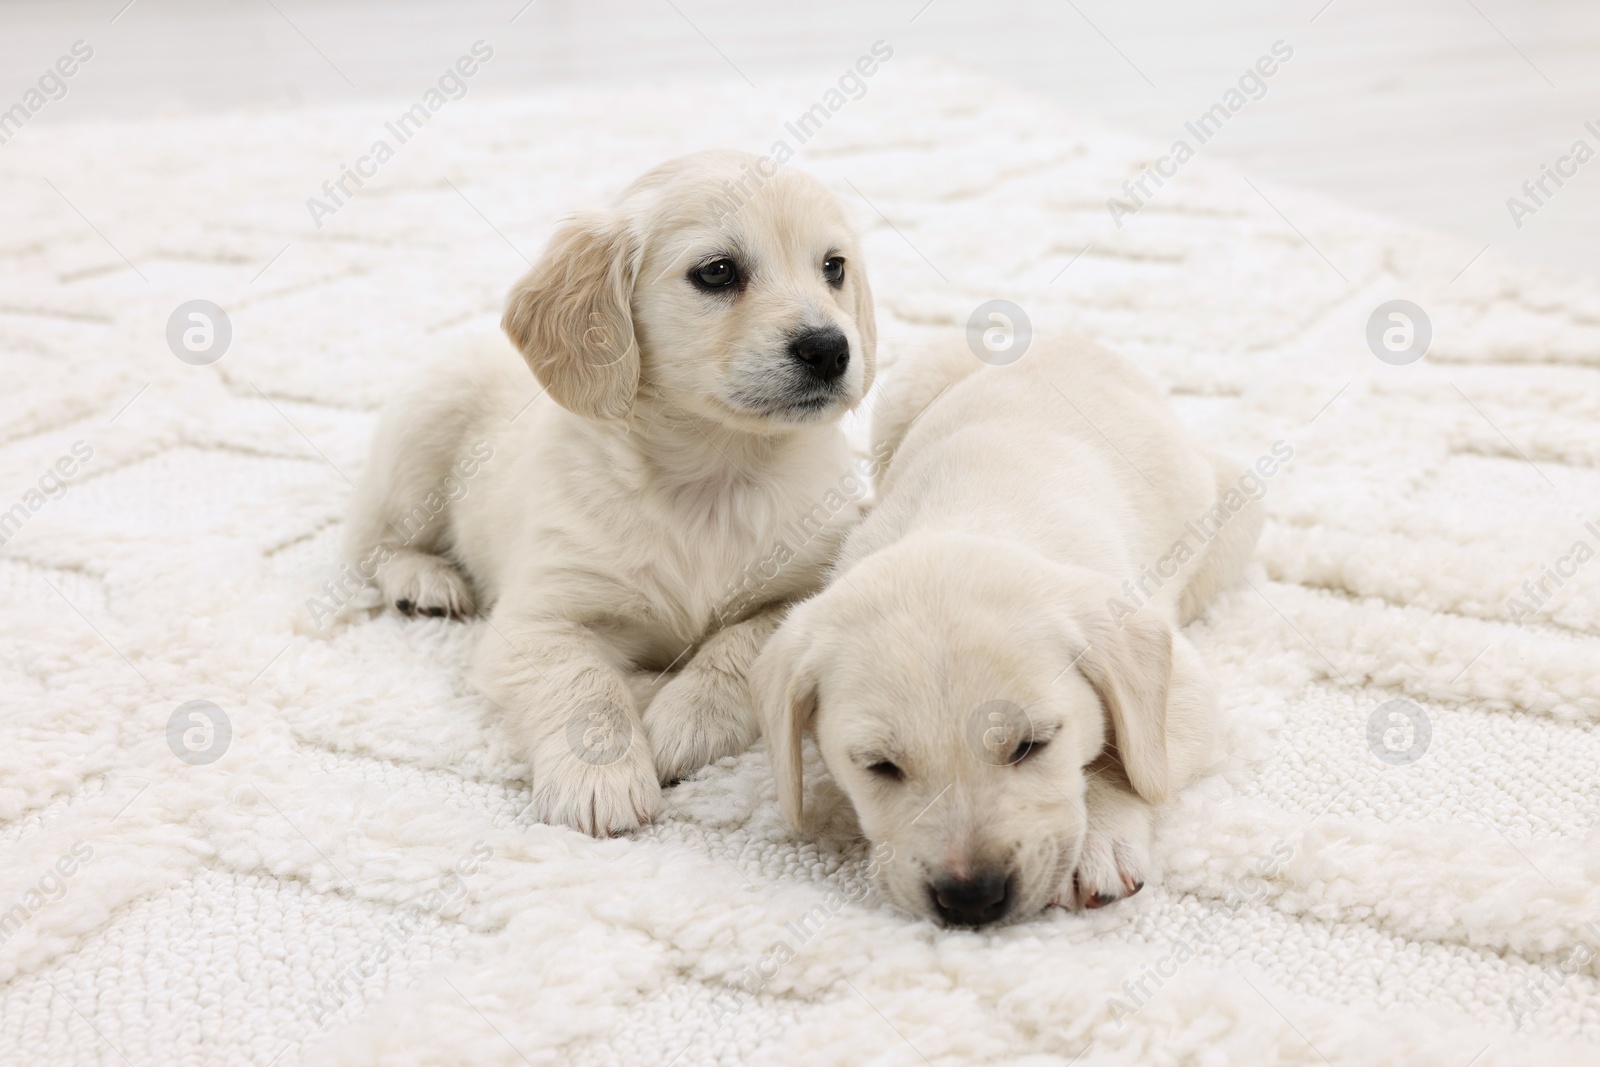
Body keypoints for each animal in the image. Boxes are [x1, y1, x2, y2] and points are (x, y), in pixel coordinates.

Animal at [344, 147, 883, 831]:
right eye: (717, 272)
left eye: (833, 268)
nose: (831, 348)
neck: (713, 474)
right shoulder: (540, 618)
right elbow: (583, 684)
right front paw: (600, 777)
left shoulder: (811, 583)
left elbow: (740, 645)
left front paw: (683, 720)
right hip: (418, 444)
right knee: (368, 544)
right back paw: (424, 581)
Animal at [748, 335, 1260, 927]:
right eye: (880, 767)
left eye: (1031, 746)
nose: (971, 899)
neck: (971, 519)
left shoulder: (1182, 683)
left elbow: (1131, 759)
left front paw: (1099, 835)